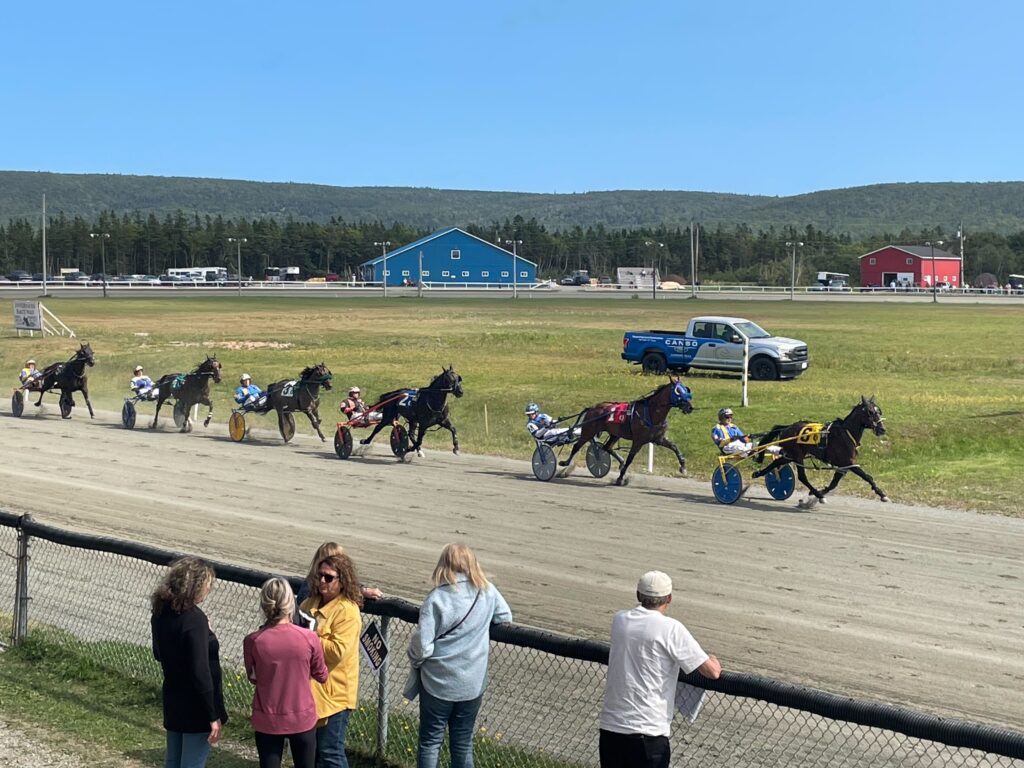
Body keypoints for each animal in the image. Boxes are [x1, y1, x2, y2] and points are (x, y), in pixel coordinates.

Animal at [561, 376, 696, 487]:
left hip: (614, 434)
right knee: (576, 446)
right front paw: (620, 478)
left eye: (686, 390)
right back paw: (564, 466)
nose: (690, 407)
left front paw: (683, 467)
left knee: (606, 447)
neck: (651, 413)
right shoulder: (638, 441)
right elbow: (630, 459)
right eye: (678, 391)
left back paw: (620, 461)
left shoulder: (659, 439)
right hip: (588, 431)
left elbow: (675, 447)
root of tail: (592, 408)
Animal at [753, 397, 888, 512]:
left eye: (879, 411)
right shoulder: (849, 463)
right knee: (802, 477)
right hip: (797, 455)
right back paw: (819, 496)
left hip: (791, 455)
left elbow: (833, 484)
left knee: (776, 462)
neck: (845, 434)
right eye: (870, 412)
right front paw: (882, 495)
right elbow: (868, 477)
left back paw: (758, 473)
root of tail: (786, 428)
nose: (882, 429)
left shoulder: (843, 467)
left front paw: (812, 497)